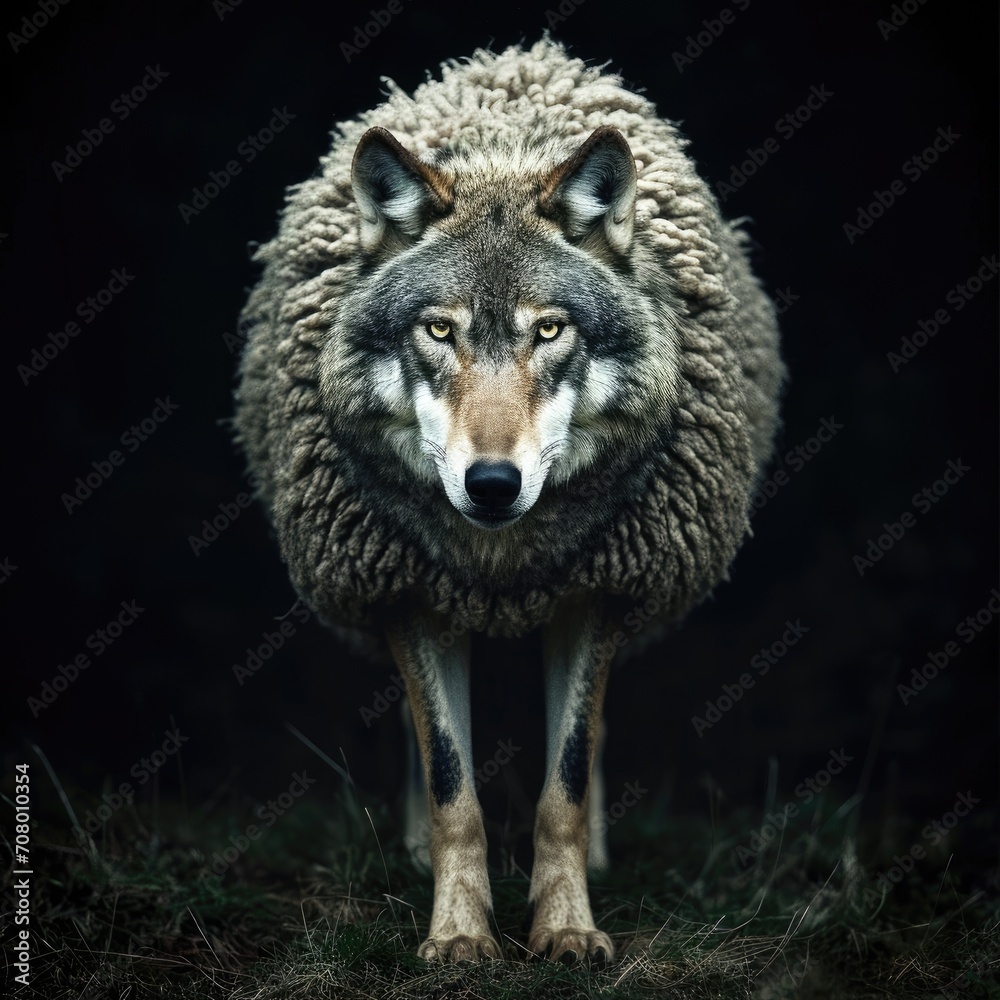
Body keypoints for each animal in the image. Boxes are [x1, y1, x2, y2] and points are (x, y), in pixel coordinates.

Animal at [235, 39, 783, 966]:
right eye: (440, 330)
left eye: (550, 330)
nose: (492, 484)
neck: (502, 566)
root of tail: (513, 61)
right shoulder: (407, 594)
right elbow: (454, 785)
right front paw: (460, 933)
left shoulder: (602, 592)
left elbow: (564, 781)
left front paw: (566, 926)